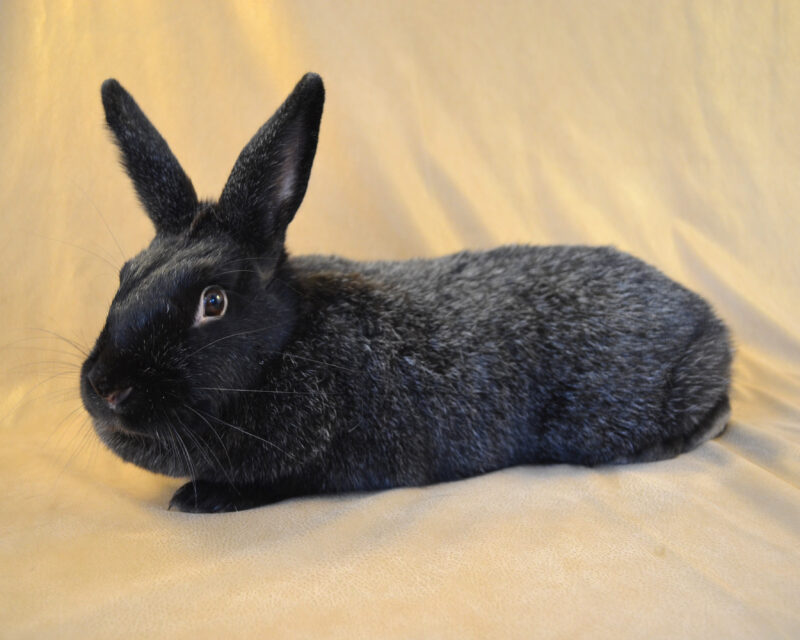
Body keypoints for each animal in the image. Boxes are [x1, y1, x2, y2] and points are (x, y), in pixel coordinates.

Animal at [80, 73, 732, 513]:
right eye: (124, 275)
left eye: (212, 302)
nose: (107, 388)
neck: (287, 348)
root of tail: (712, 325)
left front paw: (198, 498)